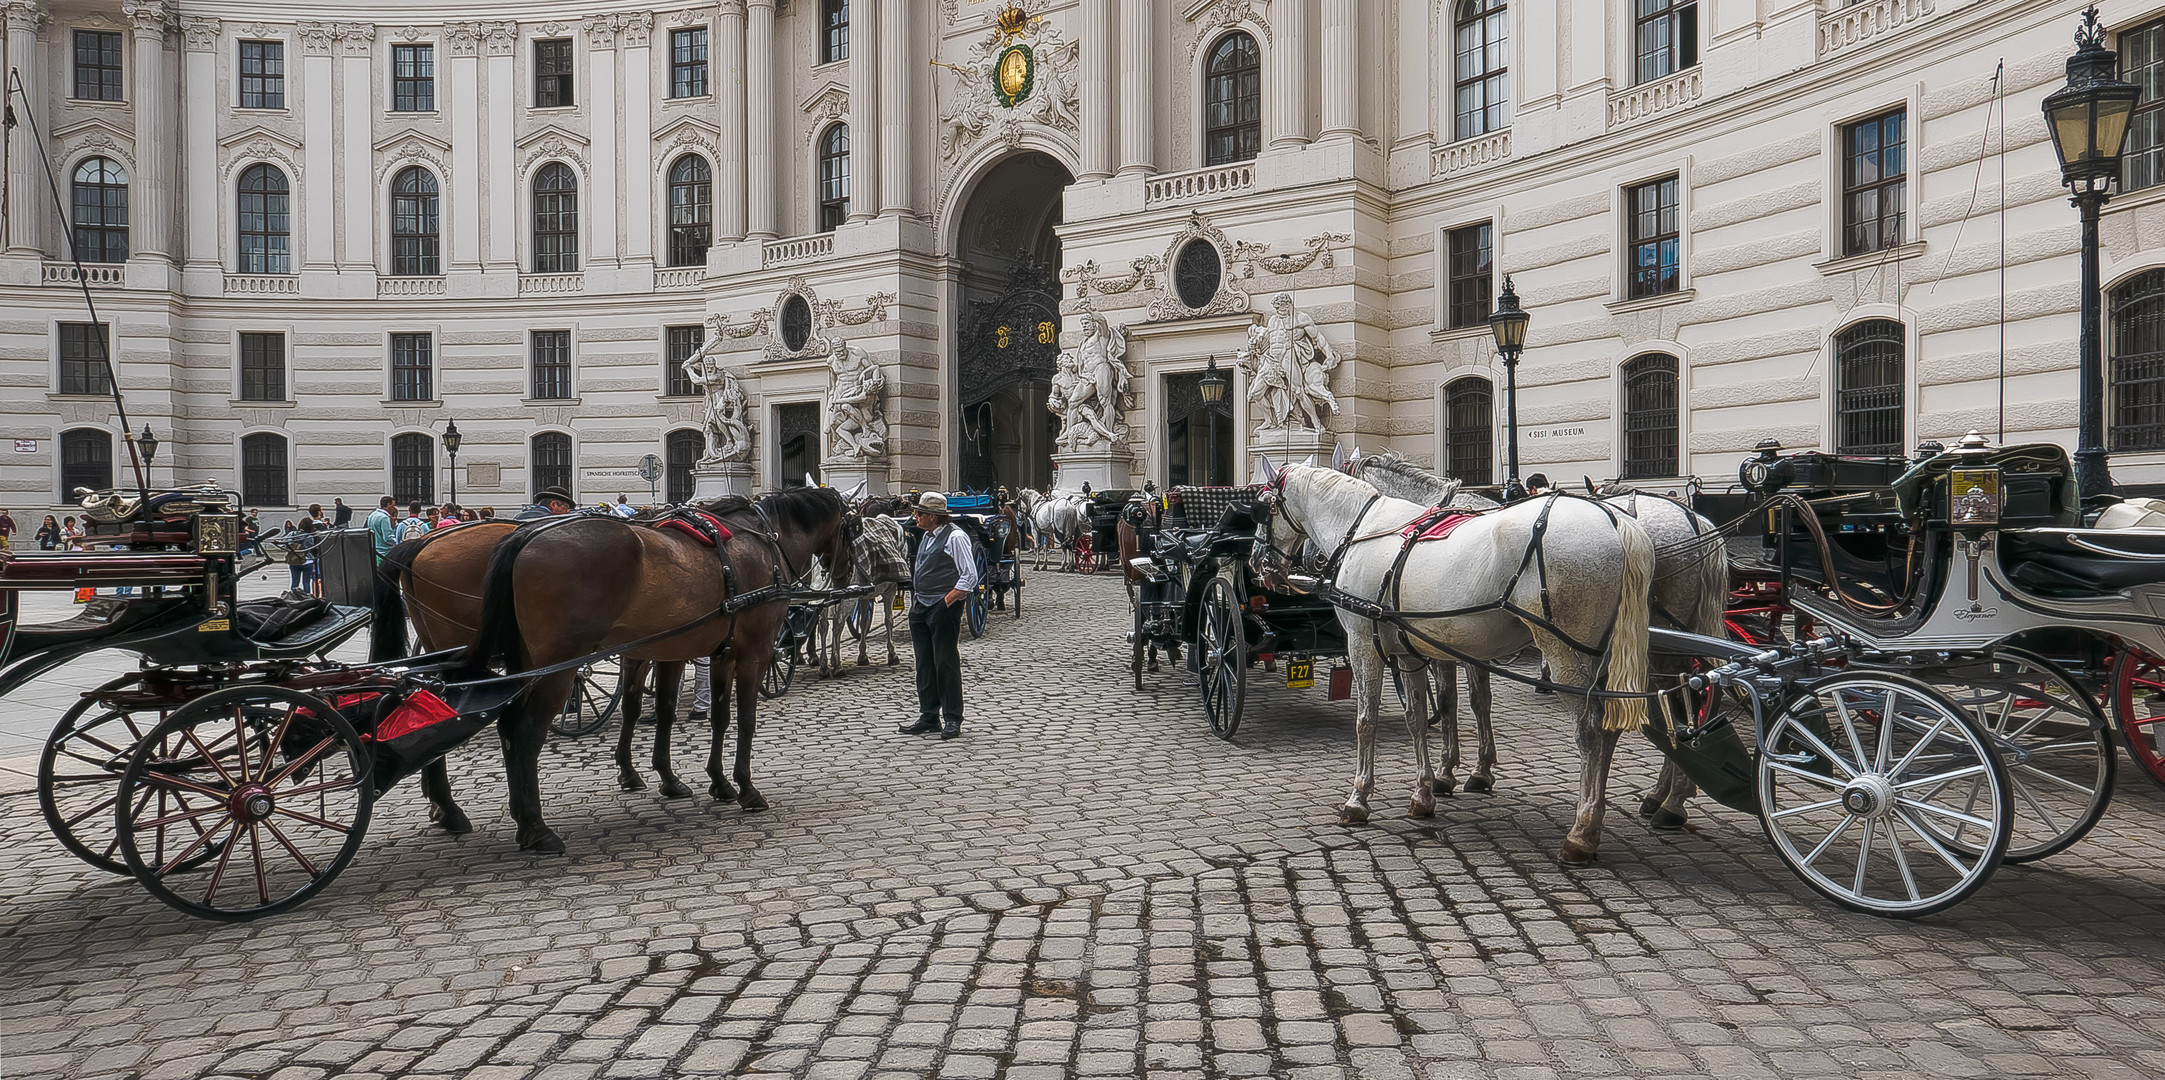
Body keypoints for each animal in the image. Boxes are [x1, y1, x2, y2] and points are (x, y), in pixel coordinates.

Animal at [465, 491, 853, 852]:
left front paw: (712, 781)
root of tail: (526, 535)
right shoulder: (754, 653)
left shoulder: (706, 653)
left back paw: (521, 819)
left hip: (525, 664)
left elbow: (705, 715)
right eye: (853, 528)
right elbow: (745, 719)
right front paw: (746, 787)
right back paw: (537, 828)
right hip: (560, 666)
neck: (762, 540)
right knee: (527, 730)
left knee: (508, 727)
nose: (846, 577)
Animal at [1264, 461, 1645, 865]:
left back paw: (1581, 832)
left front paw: (1358, 799)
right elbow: (1418, 718)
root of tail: (1615, 520)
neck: (1367, 529)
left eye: (1264, 507)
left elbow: (1368, 722)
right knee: (1608, 728)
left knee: (1590, 731)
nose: (1265, 565)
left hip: (1565, 654)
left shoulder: (1364, 645)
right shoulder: (1411, 653)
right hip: (1603, 660)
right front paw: (1425, 793)